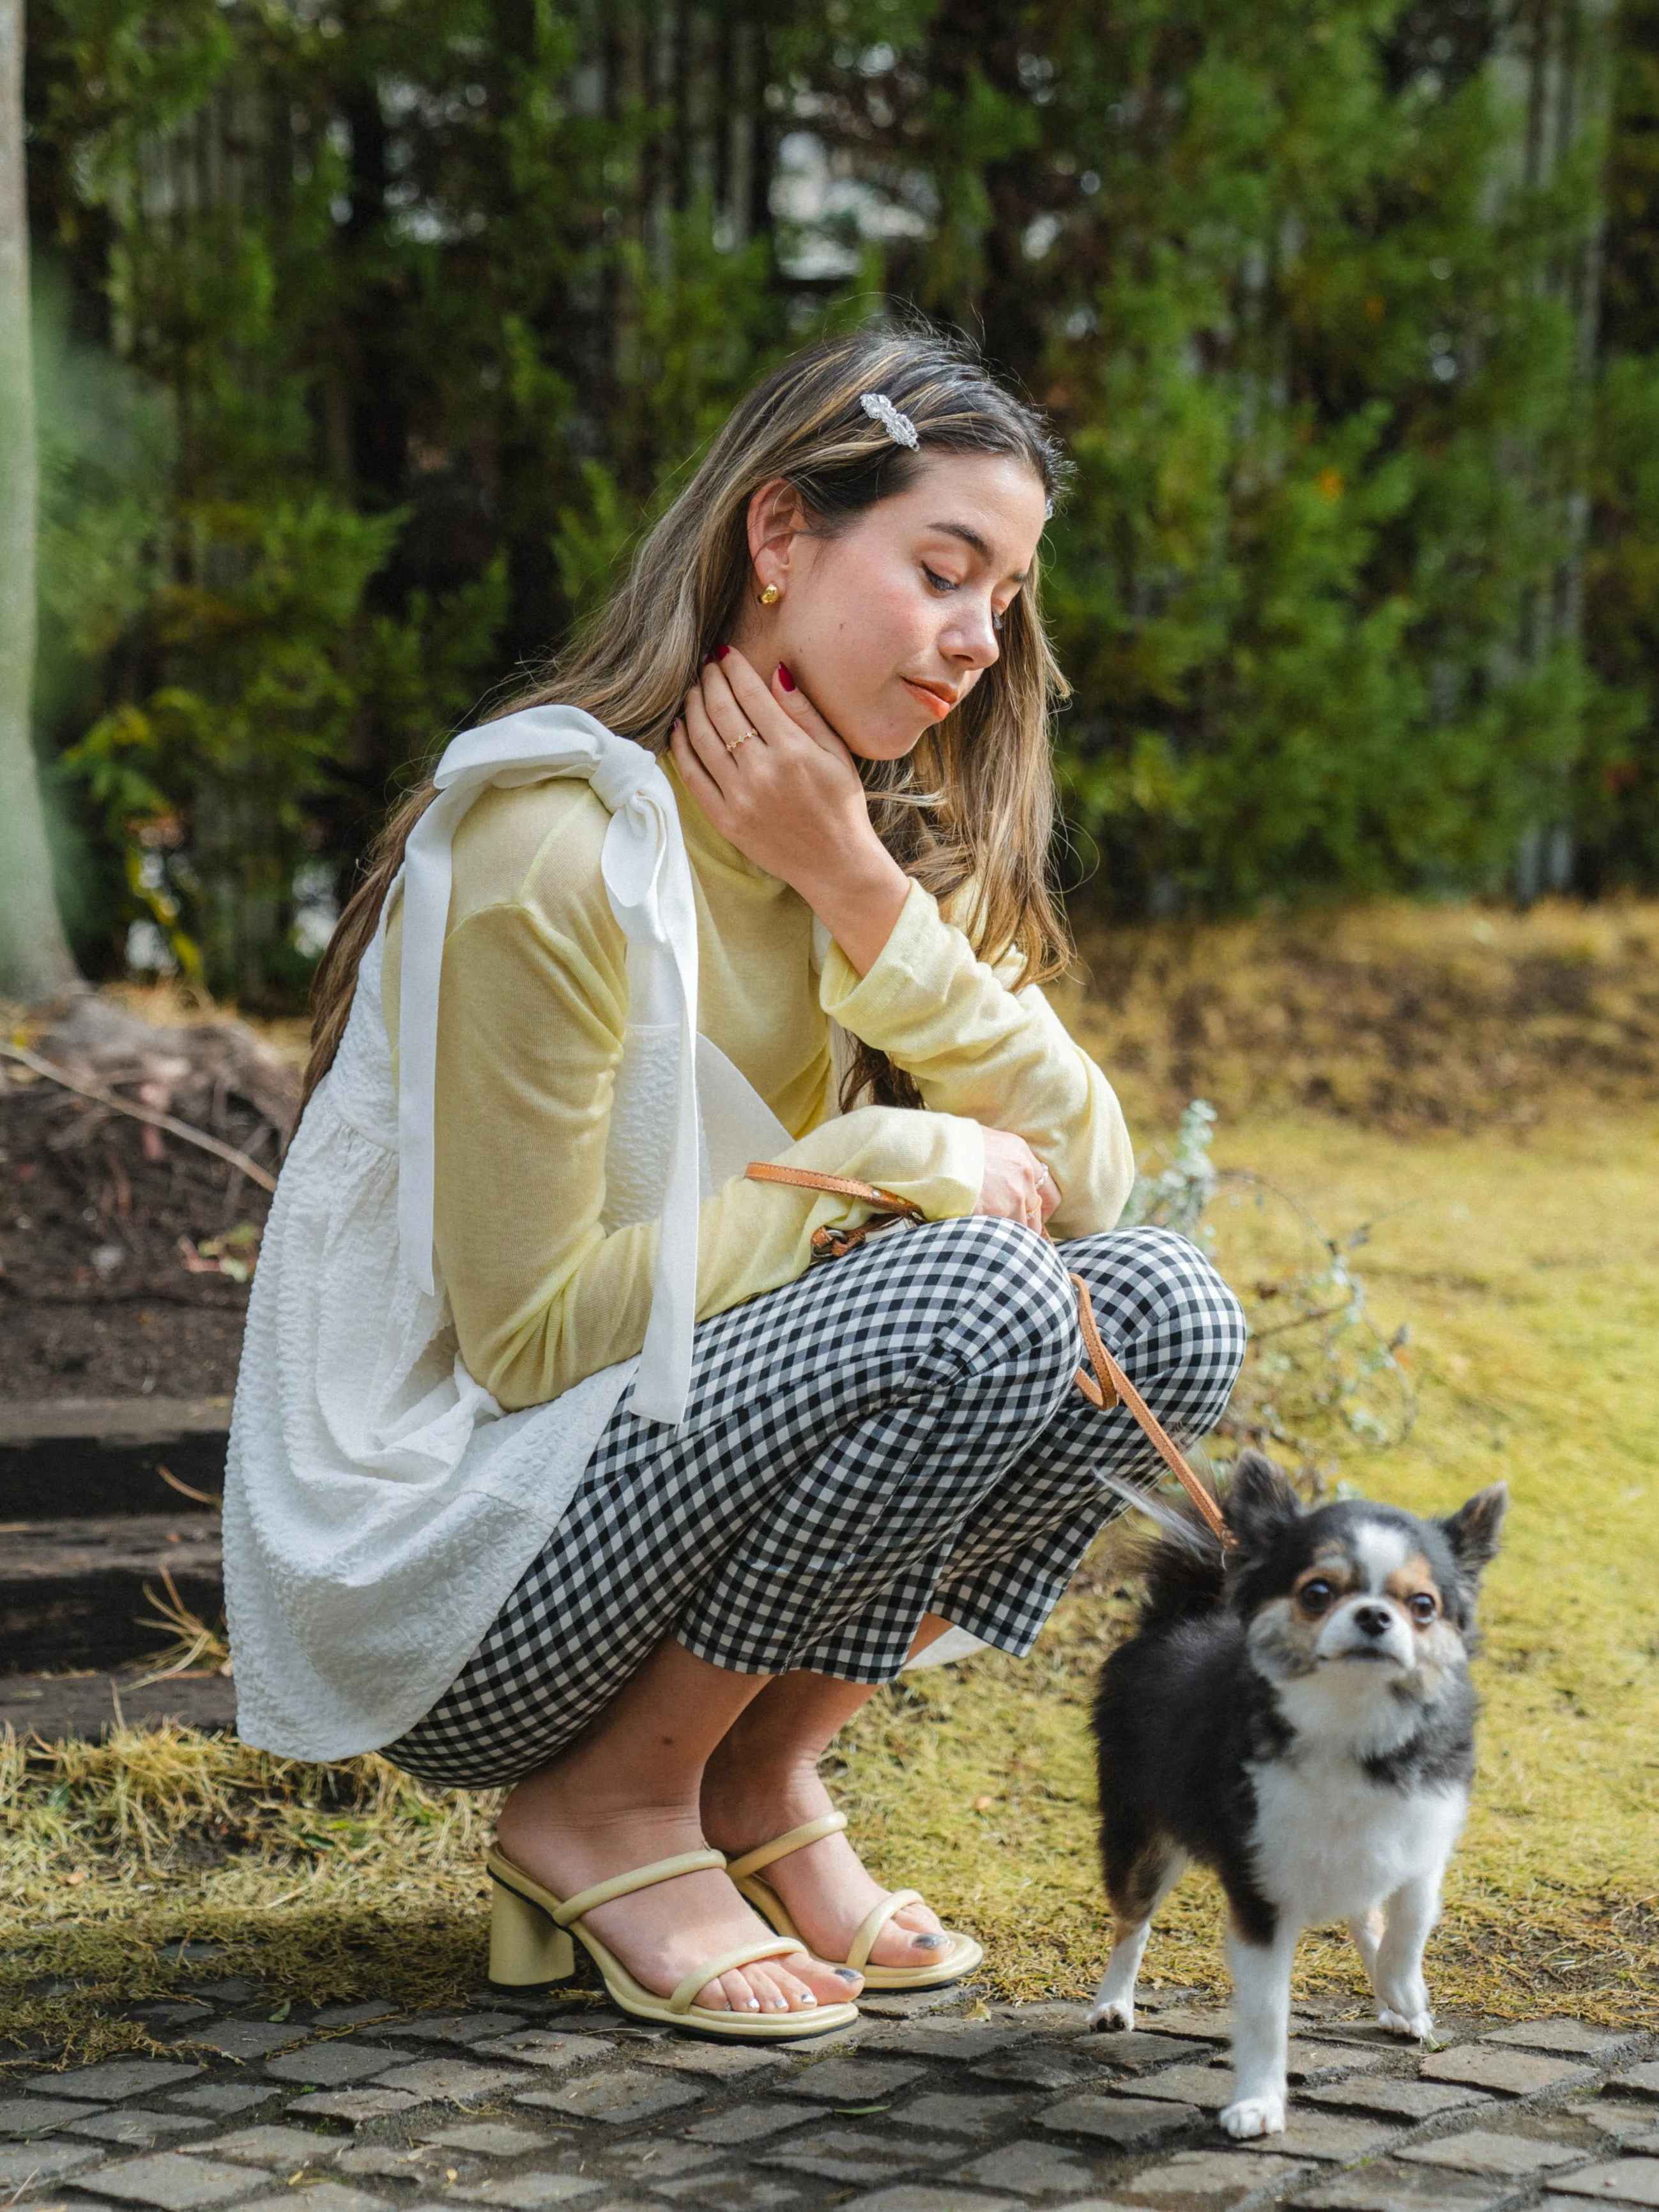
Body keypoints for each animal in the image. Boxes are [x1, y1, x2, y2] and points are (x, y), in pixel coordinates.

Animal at [1092, 1460, 1504, 2132]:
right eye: (1316, 1593)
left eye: (1423, 1605)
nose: (1374, 1615)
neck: (1351, 1720)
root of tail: (1186, 1613)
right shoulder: (1258, 1891)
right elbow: (1265, 2014)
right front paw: (1258, 2102)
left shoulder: (1422, 1835)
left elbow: (1410, 1916)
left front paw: (1404, 1990)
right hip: (1142, 1836)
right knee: (1133, 1920)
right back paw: (1112, 2002)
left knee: (1365, 1913)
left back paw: (1392, 2002)